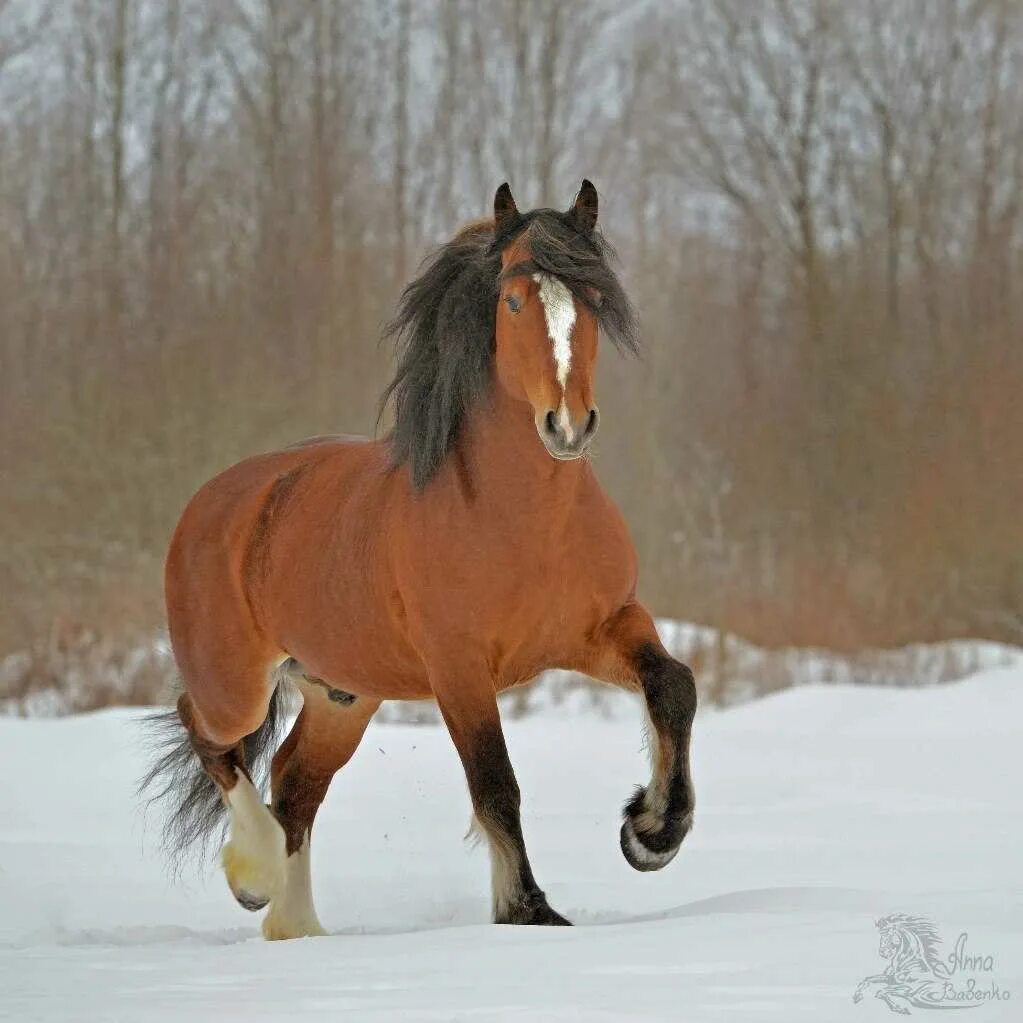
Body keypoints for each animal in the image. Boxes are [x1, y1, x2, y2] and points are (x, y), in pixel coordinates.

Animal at [144, 180, 699, 937]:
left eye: (592, 297)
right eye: (513, 300)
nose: (567, 425)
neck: (524, 521)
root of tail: (213, 502)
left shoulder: (601, 627)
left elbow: (673, 686)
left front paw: (649, 833)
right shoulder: (458, 667)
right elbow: (495, 781)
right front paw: (528, 909)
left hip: (343, 694)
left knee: (295, 781)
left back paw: (299, 927)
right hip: (236, 684)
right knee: (207, 734)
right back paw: (254, 876)